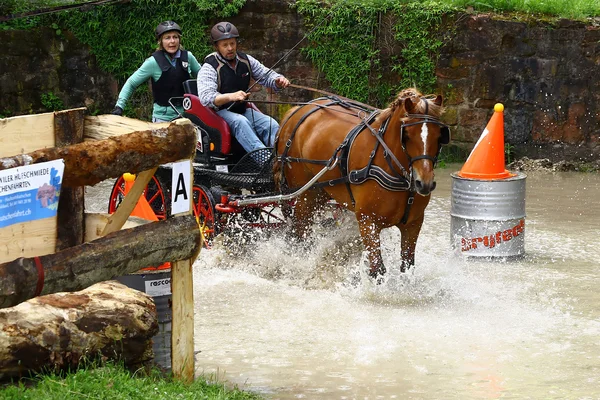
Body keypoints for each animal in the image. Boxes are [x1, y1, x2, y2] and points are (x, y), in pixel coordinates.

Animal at [274, 88, 448, 280]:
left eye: (440, 136)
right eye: (407, 135)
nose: (424, 183)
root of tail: (295, 111)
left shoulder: (413, 223)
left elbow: (407, 267)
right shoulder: (367, 221)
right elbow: (378, 270)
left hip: (320, 192)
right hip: (304, 194)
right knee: (299, 232)